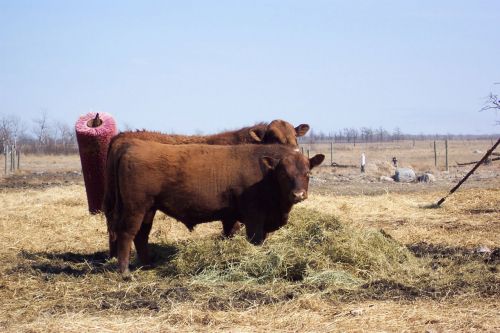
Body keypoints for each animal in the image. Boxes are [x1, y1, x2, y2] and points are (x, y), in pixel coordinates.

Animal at [105, 140, 324, 274]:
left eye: (307, 173)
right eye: (283, 174)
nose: (298, 195)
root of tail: (132, 146)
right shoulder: (254, 217)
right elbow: (255, 240)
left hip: (149, 209)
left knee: (142, 235)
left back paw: (147, 264)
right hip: (135, 208)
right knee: (127, 233)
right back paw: (125, 271)